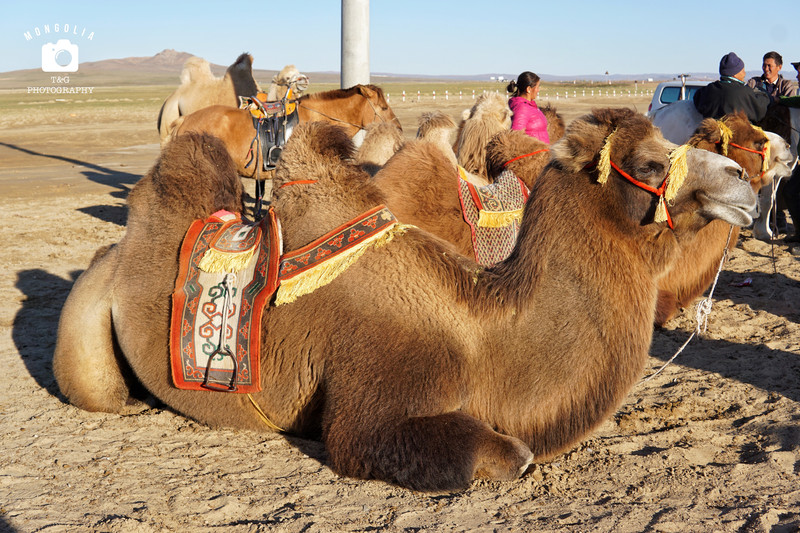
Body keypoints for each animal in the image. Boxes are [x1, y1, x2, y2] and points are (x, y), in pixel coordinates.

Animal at [53, 108, 752, 490]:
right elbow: (511, 454)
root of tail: (116, 251)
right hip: (88, 328)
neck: (482, 338)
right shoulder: (378, 401)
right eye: (653, 163)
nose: (742, 180)